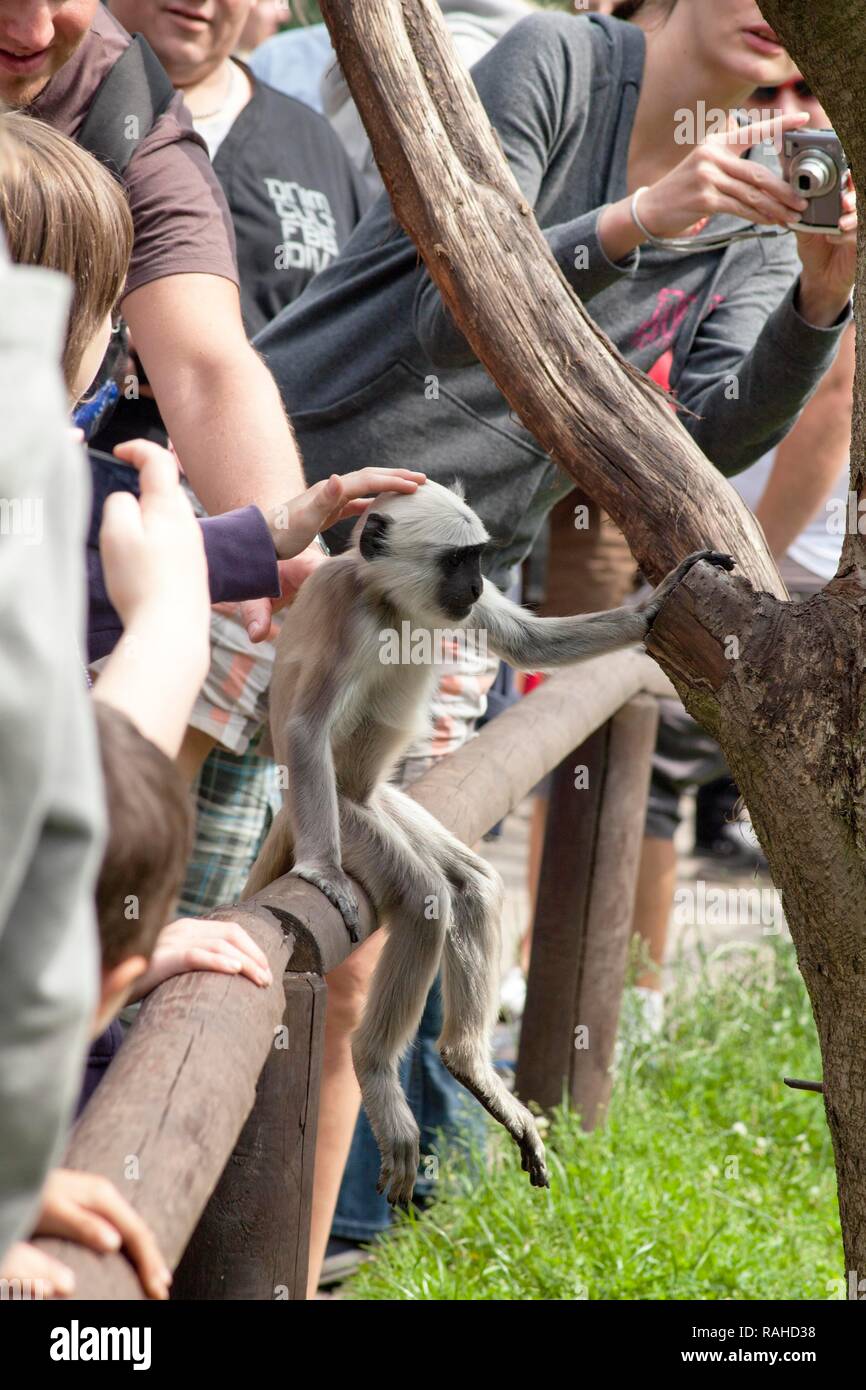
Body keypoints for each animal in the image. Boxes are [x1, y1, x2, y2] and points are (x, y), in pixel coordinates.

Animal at [246, 478, 739, 1206]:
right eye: (459, 560)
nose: (479, 583)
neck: (391, 604)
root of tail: (332, 806)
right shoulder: (345, 608)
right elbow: (307, 728)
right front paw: (321, 871)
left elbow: (528, 643)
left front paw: (661, 600)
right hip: (346, 817)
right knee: (425, 897)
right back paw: (380, 1066)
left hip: (380, 808)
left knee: (470, 886)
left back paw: (471, 1066)